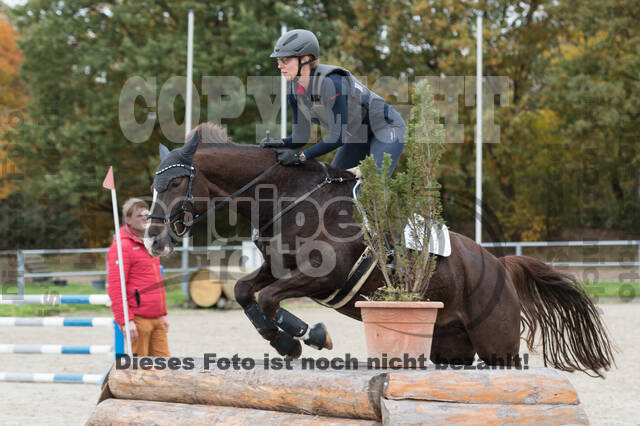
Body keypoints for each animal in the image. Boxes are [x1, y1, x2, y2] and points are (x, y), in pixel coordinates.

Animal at [145, 122, 616, 376]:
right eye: (154, 183)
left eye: (174, 182)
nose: (152, 239)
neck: (290, 198)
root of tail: (499, 264)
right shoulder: (278, 268)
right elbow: (247, 291)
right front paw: (291, 340)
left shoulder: (322, 275)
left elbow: (268, 298)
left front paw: (303, 337)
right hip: (451, 346)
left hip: (497, 344)